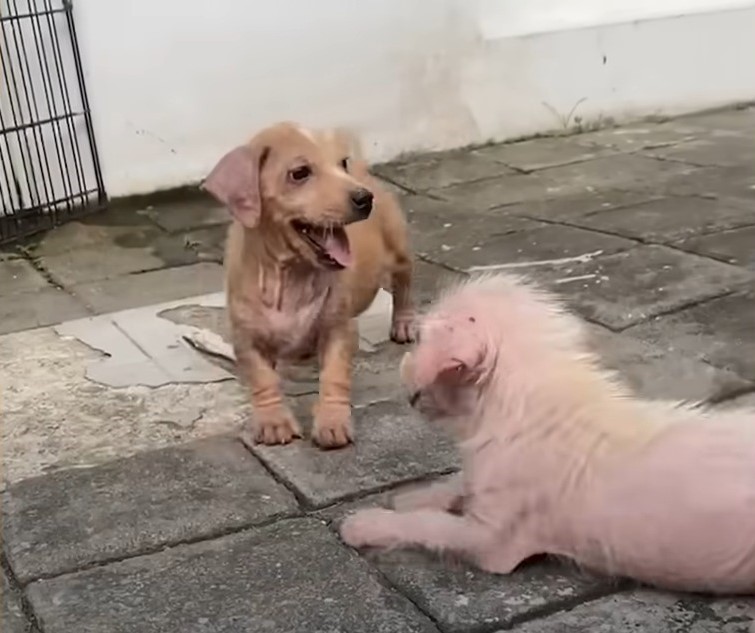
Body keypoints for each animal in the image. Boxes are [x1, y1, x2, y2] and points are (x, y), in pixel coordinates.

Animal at [202, 122, 414, 450]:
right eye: (299, 173)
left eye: (341, 164)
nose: (364, 198)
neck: (291, 275)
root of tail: (364, 172)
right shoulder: (246, 338)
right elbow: (263, 379)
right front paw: (273, 421)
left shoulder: (338, 327)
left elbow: (335, 375)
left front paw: (332, 421)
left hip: (397, 248)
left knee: (404, 283)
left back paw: (404, 323)